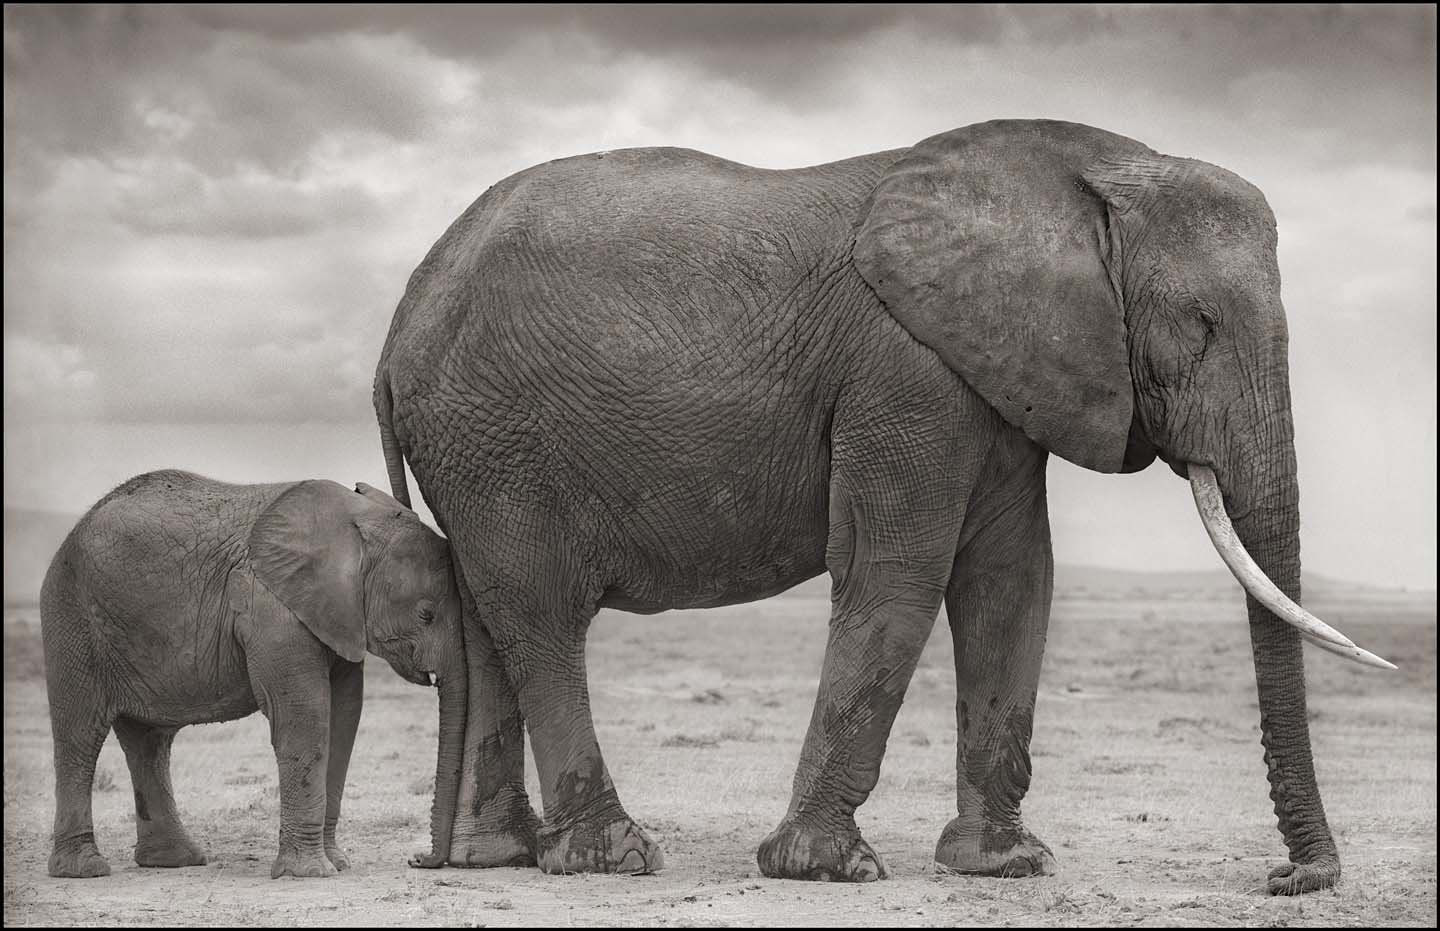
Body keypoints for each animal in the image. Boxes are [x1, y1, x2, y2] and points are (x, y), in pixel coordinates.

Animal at [43, 474, 466, 880]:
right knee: (80, 735)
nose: (418, 859)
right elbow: (304, 719)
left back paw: (174, 861)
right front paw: (309, 873)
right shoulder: (271, 606)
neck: (354, 521)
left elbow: (343, 719)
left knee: (149, 742)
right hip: (72, 616)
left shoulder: (338, 617)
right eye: (426, 614)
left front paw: (336, 863)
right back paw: (84, 870)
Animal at [377, 118, 1388, 897]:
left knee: (485, 620)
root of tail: (397, 326)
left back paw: (500, 856)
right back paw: (614, 857)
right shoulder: (907, 374)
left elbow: (1012, 584)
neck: (1088, 169)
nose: (1288, 878)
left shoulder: (993, 378)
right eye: (1200, 325)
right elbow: (897, 576)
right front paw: (827, 870)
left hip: (474, 449)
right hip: (496, 439)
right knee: (541, 615)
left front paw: (1005, 866)